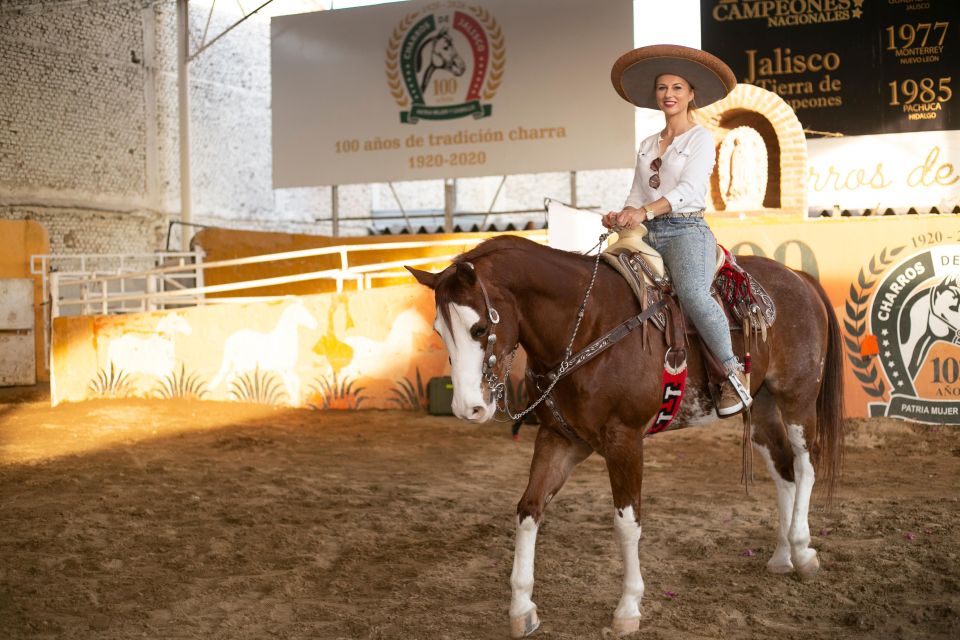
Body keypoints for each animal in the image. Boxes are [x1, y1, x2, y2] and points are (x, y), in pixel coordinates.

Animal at [404, 234, 840, 636]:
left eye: (479, 328)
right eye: (439, 331)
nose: (468, 408)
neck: (586, 327)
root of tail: (799, 278)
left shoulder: (624, 441)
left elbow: (627, 522)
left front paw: (628, 608)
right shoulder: (560, 438)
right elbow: (529, 509)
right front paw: (522, 608)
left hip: (798, 397)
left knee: (805, 466)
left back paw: (803, 552)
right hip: (761, 406)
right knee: (784, 472)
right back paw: (782, 556)